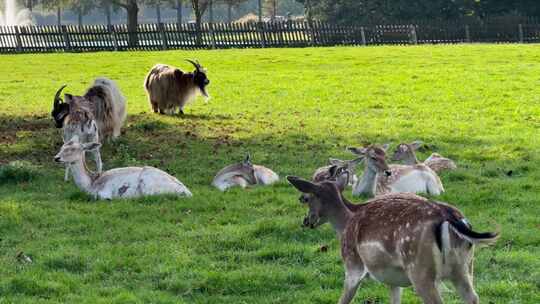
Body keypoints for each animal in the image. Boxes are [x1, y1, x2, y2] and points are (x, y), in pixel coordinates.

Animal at [53, 136, 193, 200]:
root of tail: (187, 192)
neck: (91, 184)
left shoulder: (104, 192)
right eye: (61, 147)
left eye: (73, 149)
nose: (56, 158)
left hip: (150, 186)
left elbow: (102, 197)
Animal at [286, 173, 498, 304]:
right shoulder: (393, 280)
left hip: (420, 269)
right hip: (465, 267)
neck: (345, 223)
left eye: (305, 198)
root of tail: (449, 216)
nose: (306, 221)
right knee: (473, 297)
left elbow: (343, 299)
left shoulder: (353, 266)